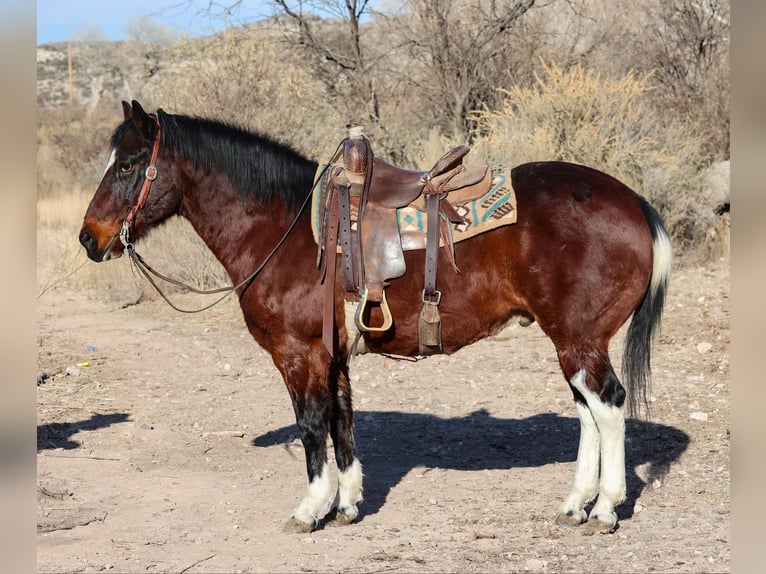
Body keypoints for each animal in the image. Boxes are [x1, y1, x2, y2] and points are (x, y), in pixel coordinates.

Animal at [79, 100, 671, 535]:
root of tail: (634, 201)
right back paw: (575, 503)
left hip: (578, 339)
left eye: (128, 165)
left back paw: (604, 508)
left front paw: (310, 508)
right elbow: (343, 420)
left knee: (608, 406)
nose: (89, 238)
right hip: (573, 342)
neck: (283, 226)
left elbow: (311, 424)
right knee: (588, 412)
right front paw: (345, 505)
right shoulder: (334, 356)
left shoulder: (298, 354)